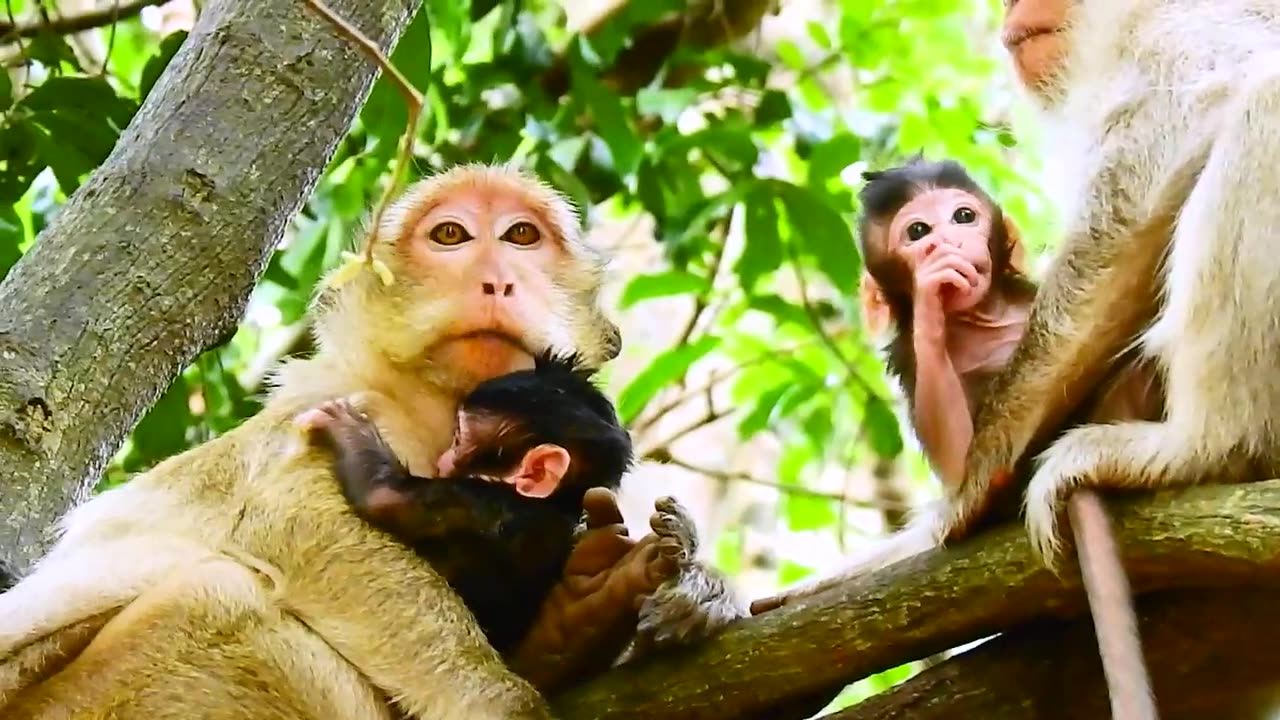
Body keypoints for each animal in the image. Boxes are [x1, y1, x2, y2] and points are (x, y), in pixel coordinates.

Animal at [0, 163, 627, 717]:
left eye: (522, 235)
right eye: (451, 235)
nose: (497, 279)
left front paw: (573, 621)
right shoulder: (343, 405)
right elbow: (300, 523)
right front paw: (502, 701)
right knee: (222, 595)